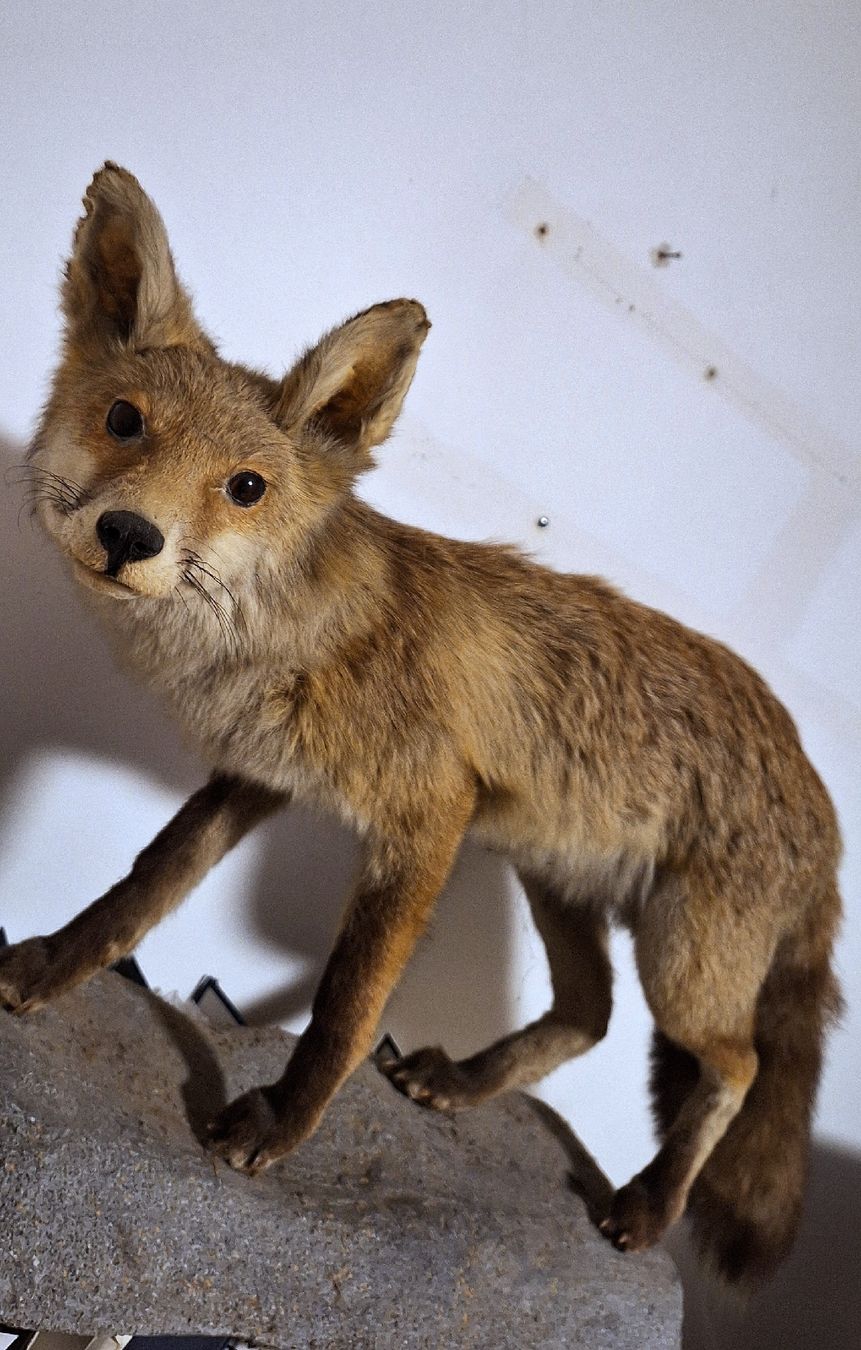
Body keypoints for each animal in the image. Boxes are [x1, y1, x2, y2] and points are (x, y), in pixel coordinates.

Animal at [0, 163, 842, 1285]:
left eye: (245, 487)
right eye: (124, 421)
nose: (129, 534)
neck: (297, 640)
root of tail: (821, 791)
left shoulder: (427, 819)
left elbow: (348, 1005)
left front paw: (279, 1124)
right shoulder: (258, 778)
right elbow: (140, 892)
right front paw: (50, 968)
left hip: (683, 964)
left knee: (736, 1067)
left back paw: (650, 1205)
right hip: (556, 883)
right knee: (590, 1012)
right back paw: (469, 1085)